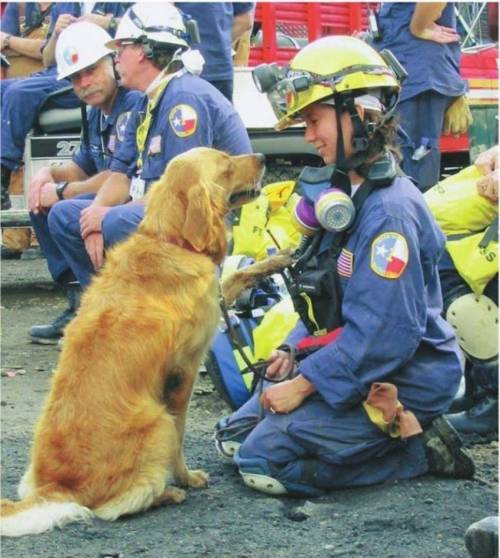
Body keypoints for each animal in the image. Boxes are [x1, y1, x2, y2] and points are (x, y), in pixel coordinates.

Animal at [0, 147, 266, 536]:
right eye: (227, 164)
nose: (263, 156)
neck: (170, 240)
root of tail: (57, 488)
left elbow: (236, 275)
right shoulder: (184, 372)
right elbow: (181, 434)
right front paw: (186, 478)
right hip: (158, 423)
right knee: (116, 506)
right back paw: (168, 493)